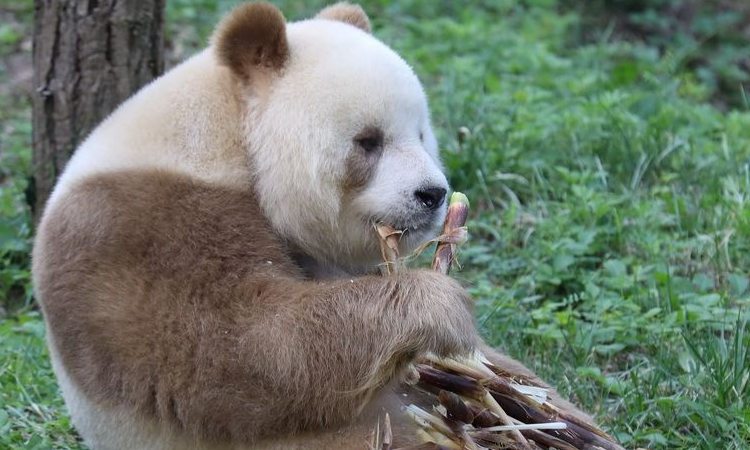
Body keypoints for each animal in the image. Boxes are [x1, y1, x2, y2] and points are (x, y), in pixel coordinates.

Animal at [32, 2, 589, 450]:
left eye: (421, 133)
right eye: (368, 141)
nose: (432, 195)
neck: (225, 132)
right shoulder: (143, 224)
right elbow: (243, 352)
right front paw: (436, 304)